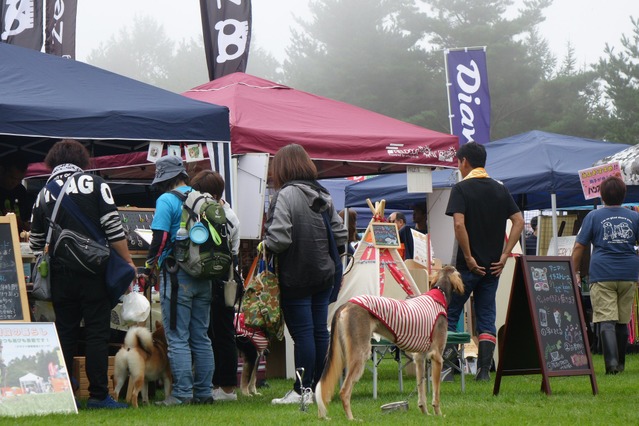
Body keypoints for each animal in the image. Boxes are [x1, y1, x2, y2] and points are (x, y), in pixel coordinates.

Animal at [318, 266, 462, 420]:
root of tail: (347, 303)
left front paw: (425, 413)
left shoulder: (419, 358)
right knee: (344, 391)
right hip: (360, 353)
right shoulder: (437, 357)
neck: (439, 293)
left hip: (341, 354)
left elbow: (421, 389)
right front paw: (438, 414)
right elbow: (436, 393)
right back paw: (351, 418)